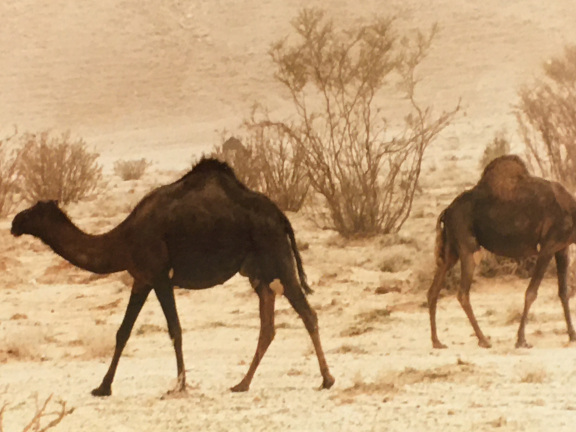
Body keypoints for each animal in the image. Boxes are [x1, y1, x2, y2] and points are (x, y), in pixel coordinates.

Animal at [11, 158, 336, 394]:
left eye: (33, 211)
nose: (14, 222)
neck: (123, 239)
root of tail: (281, 217)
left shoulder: (159, 276)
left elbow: (175, 329)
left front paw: (180, 385)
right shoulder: (141, 278)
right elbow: (123, 332)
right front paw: (103, 387)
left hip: (277, 257)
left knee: (307, 313)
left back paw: (326, 379)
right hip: (259, 273)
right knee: (268, 325)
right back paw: (242, 384)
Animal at [426, 154, 576, 350]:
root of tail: (447, 211)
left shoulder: (562, 248)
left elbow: (563, 292)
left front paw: (572, 335)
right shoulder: (548, 247)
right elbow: (531, 293)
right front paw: (521, 339)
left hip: (451, 251)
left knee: (433, 290)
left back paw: (437, 341)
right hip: (467, 248)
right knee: (463, 293)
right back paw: (483, 339)